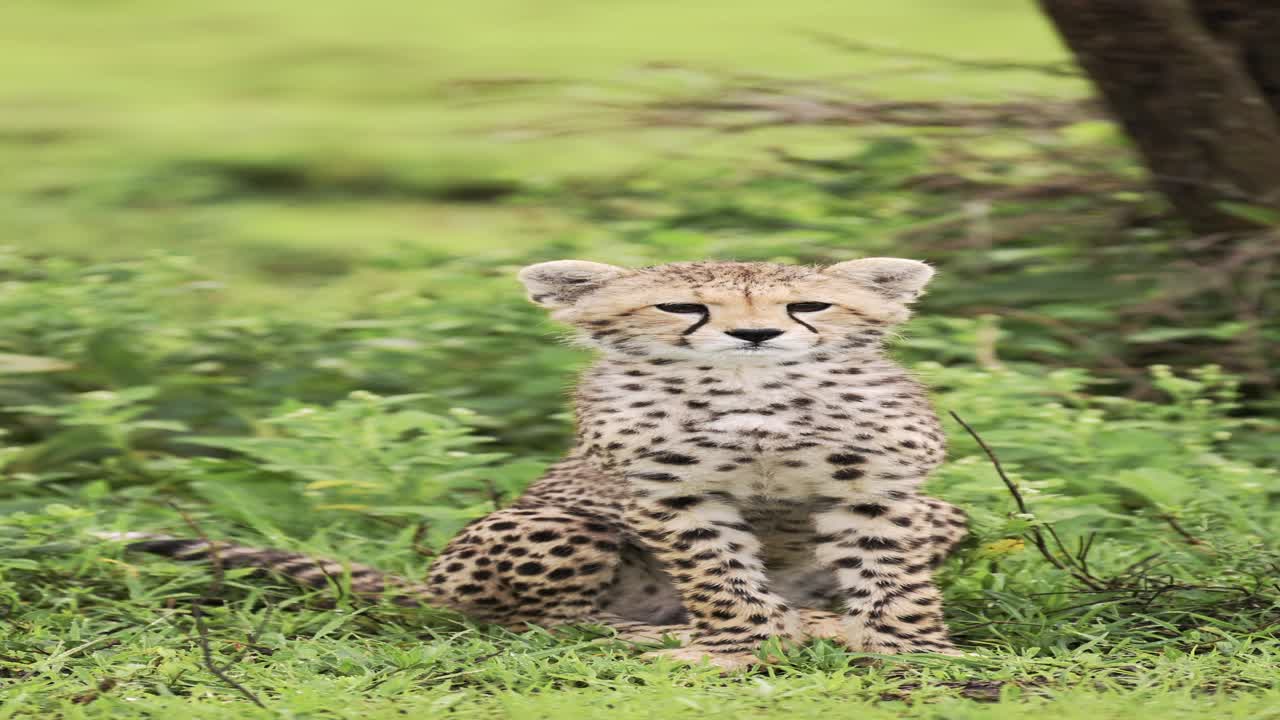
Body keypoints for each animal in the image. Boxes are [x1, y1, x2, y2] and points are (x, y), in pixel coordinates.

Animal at [109, 257, 969, 671]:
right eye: (681, 306)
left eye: (809, 307)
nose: (755, 337)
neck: (751, 395)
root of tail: (429, 584)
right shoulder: (670, 491)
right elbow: (719, 579)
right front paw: (741, 648)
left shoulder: (878, 483)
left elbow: (892, 577)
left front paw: (912, 651)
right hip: (553, 525)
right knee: (547, 623)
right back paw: (661, 633)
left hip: (945, 511)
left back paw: (821, 620)